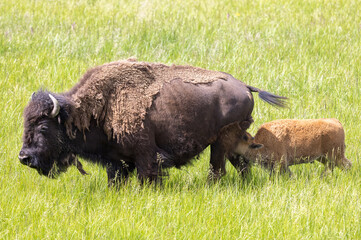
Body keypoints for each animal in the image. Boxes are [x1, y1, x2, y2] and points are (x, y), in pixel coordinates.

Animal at [19, 59, 286, 185]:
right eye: (25, 124)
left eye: (43, 127)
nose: (24, 157)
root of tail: (245, 87)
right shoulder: (115, 161)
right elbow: (115, 178)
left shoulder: (145, 154)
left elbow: (146, 175)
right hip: (231, 144)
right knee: (240, 165)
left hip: (220, 142)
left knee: (218, 168)